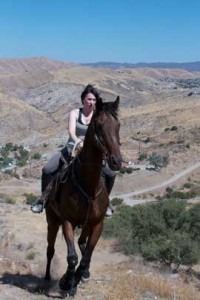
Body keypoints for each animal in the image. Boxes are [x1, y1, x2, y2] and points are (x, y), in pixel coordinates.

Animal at [44, 95, 122, 296]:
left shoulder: (97, 224)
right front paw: (66, 283)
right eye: (99, 125)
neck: (89, 185)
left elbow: (86, 257)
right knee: (50, 249)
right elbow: (72, 257)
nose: (116, 161)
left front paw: (75, 280)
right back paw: (47, 277)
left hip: (86, 224)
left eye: (118, 125)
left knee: (82, 243)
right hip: (52, 221)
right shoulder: (67, 222)